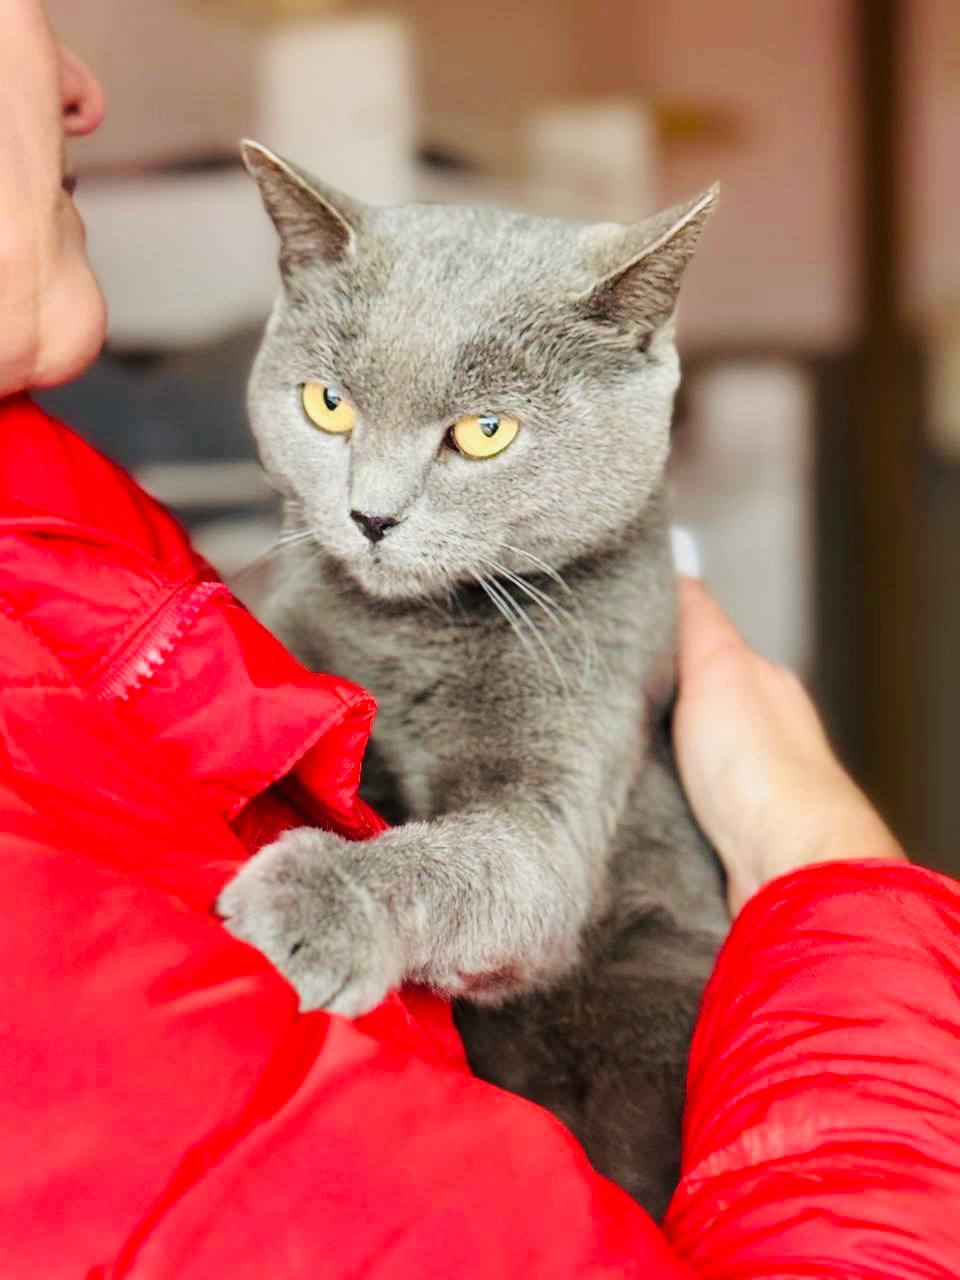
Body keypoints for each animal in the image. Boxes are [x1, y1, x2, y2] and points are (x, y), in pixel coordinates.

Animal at [218, 139, 729, 1218]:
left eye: (485, 431)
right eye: (329, 405)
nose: (370, 516)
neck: (415, 633)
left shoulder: (573, 763)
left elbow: (474, 863)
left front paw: (319, 899)